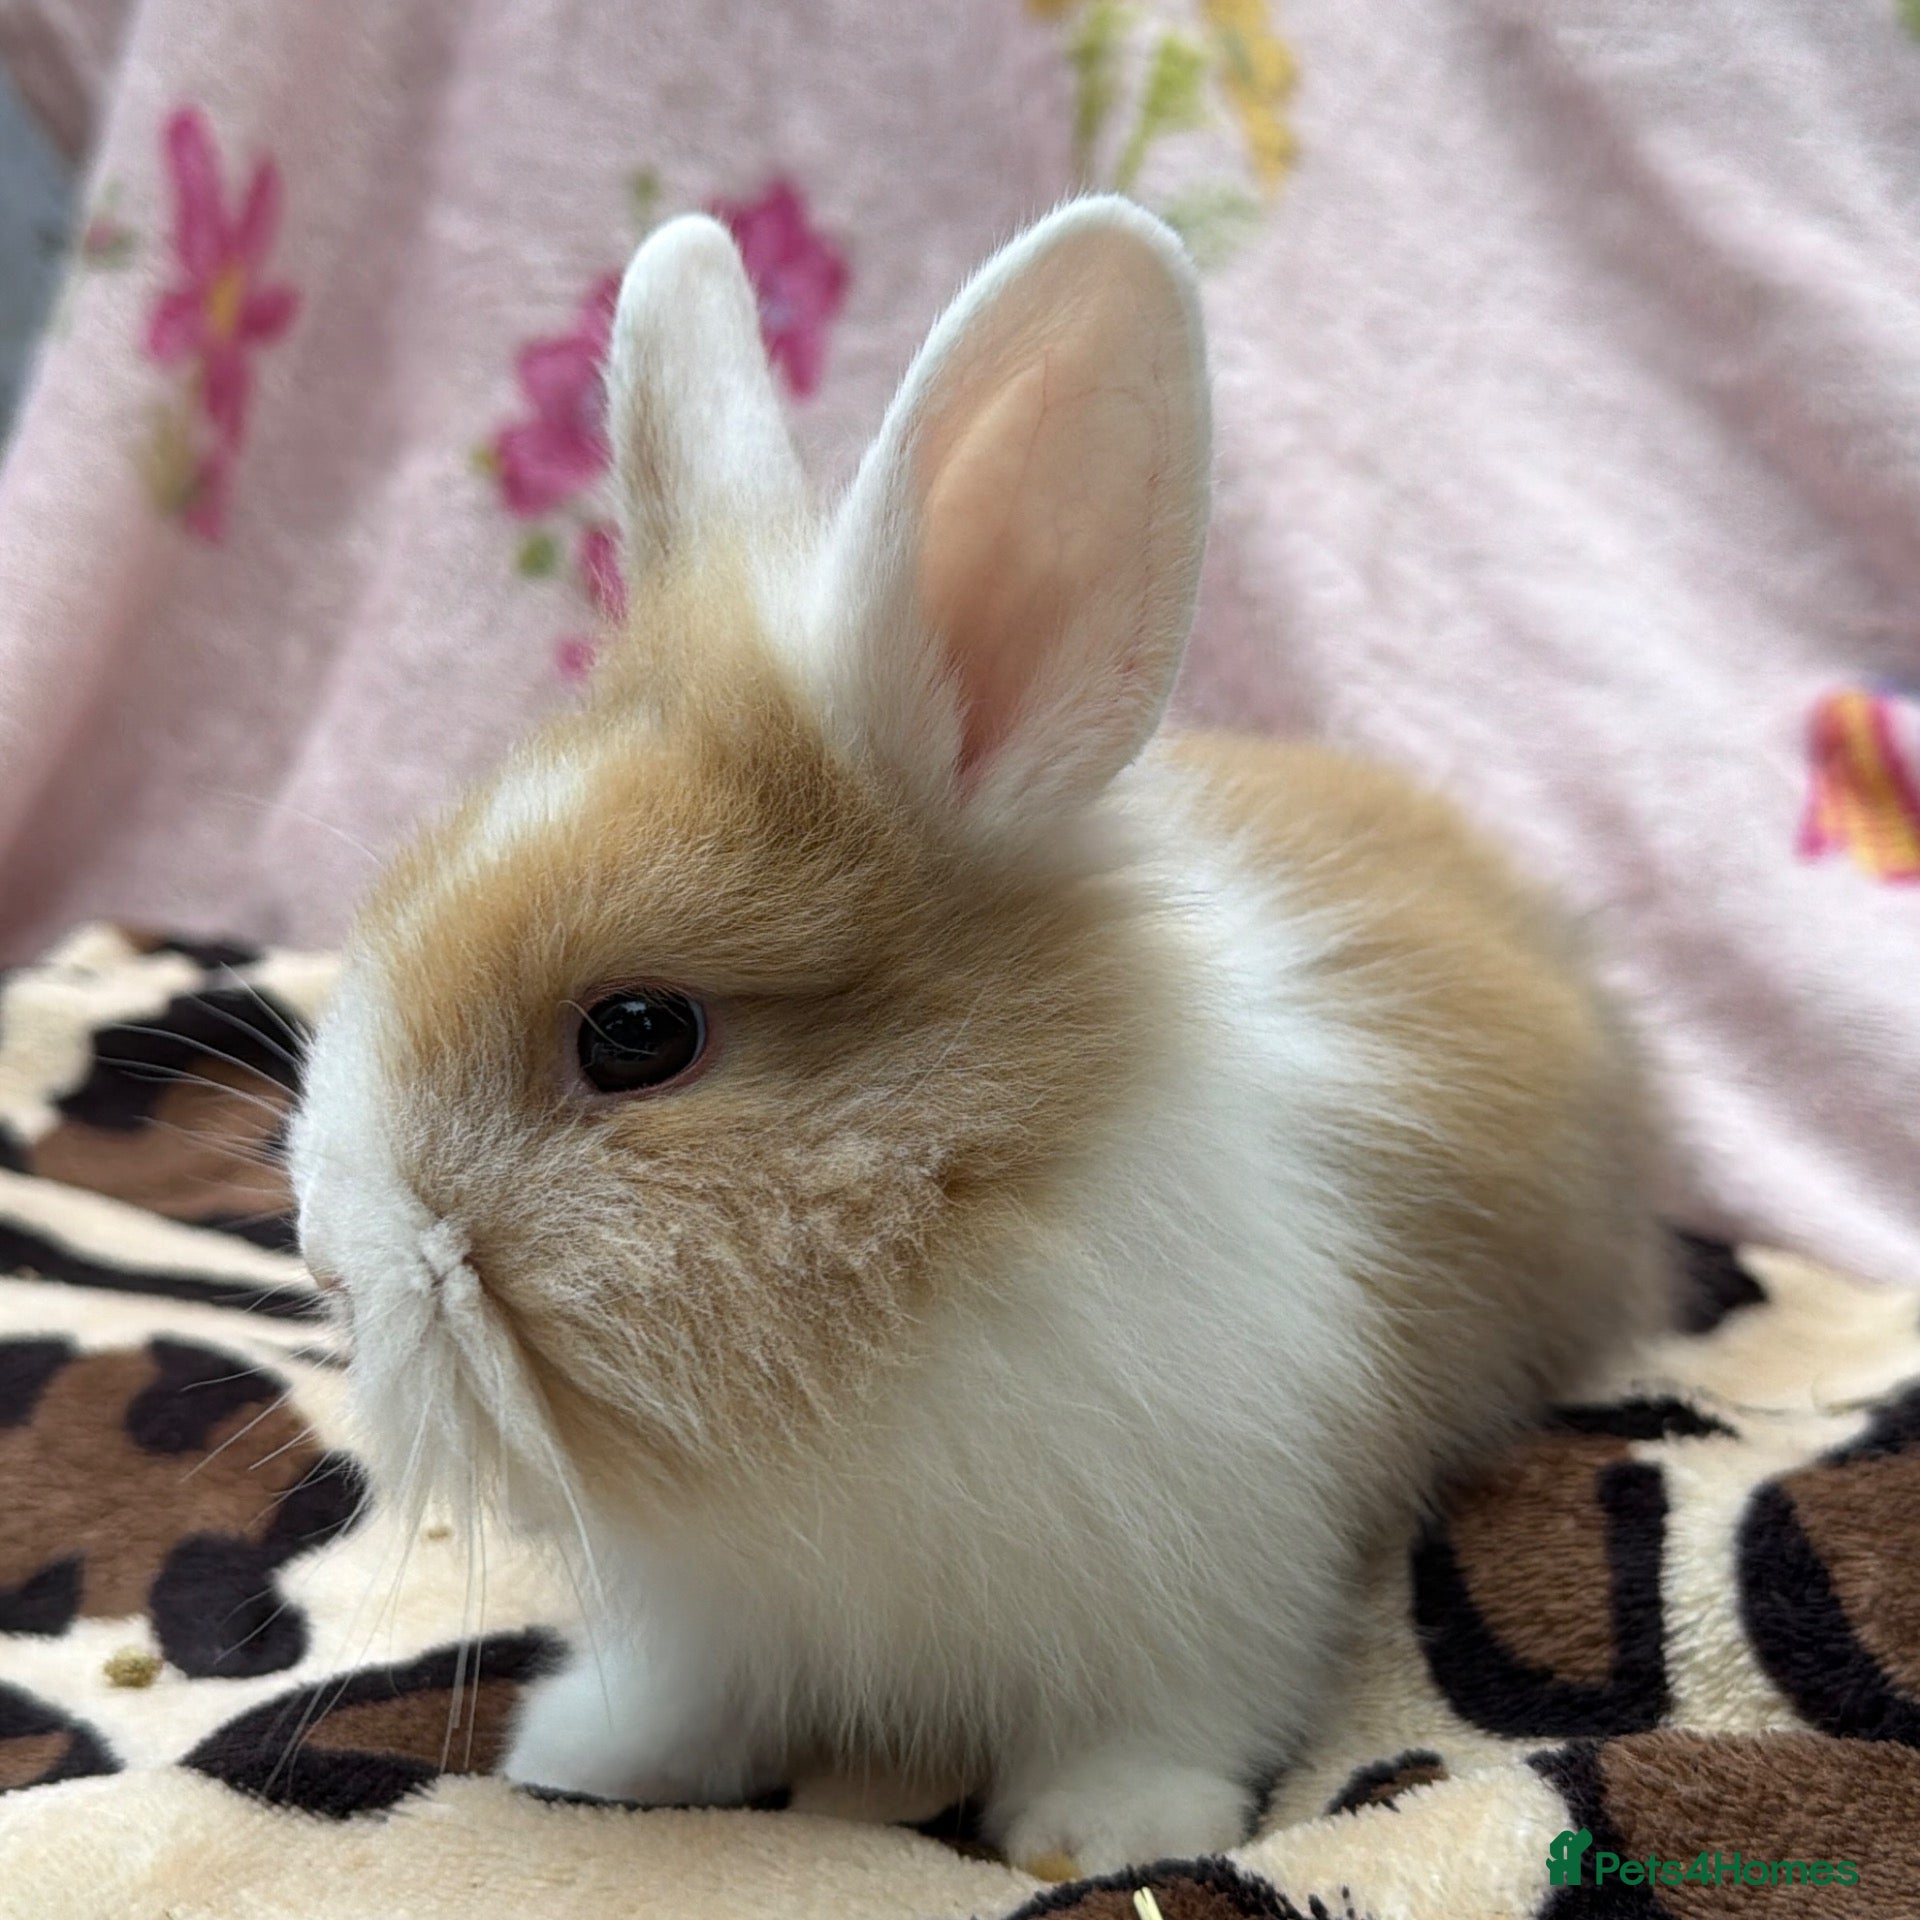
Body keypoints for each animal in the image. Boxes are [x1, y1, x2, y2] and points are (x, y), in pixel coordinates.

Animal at [288, 196, 1671, 1878]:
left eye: (637, 1033)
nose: (329, 1262)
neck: (913, 1287)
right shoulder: (717, 1616)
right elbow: (690, 1696)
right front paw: (593, 1757)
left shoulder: (1218, 1562)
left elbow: (1167, 1711)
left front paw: (1106, 1833)